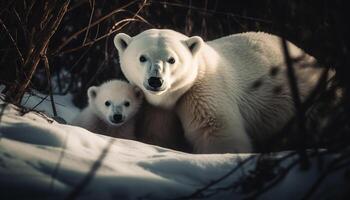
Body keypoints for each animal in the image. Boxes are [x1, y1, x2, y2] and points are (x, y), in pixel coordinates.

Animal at [113, 28, 326, 153]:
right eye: (142, 57)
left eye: (172, 59)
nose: (155, 81)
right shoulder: (156, 110)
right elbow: (157, 135)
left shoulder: (203, 90)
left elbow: (216, 129)